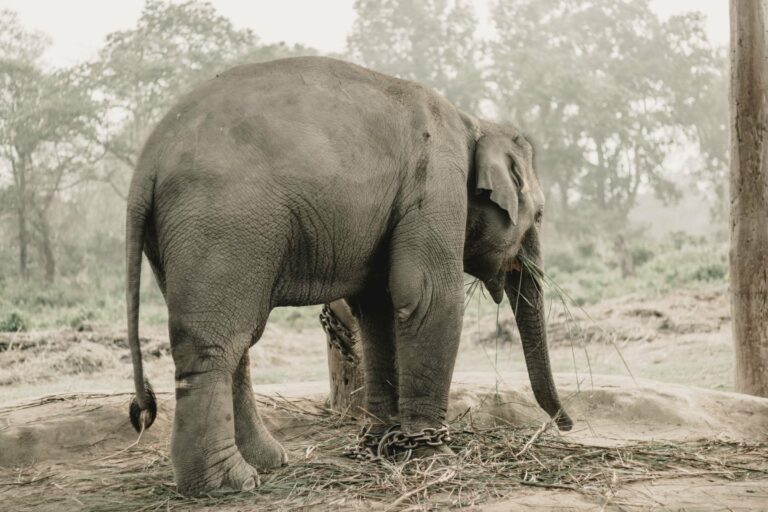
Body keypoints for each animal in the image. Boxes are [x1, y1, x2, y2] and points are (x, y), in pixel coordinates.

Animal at [126, 56, 573, 496]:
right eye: (539, 216)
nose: (566, 425)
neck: (474, 122)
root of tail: (147, 161)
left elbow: (377, 308)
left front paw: (381, 445)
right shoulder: (436, 181)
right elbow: (428, 297)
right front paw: (435, 458)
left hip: (182, 240)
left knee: (236, 342)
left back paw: (267, 462)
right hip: (223, 222)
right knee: (215, 344)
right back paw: (227, 484)